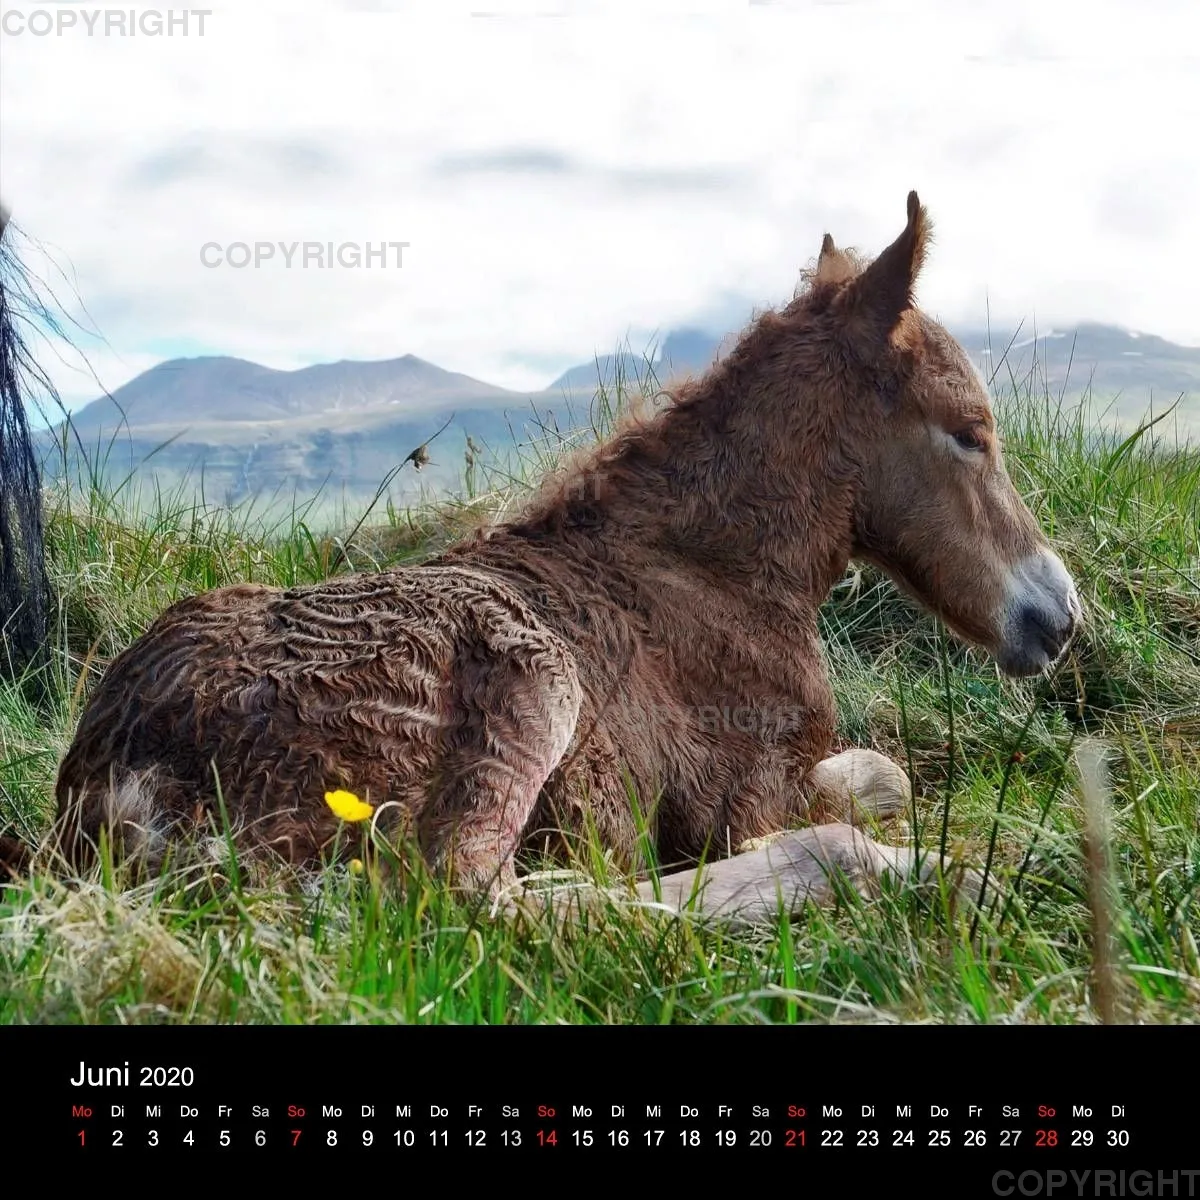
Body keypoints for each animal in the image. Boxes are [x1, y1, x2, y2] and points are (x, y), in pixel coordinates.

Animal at [47, 193, 1081, 920]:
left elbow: (882, 772)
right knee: (469, 906)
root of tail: (121, 776)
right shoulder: (749, 795)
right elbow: (867, 786)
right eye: (969, 433)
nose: (1058, 616)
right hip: (529, 682)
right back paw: (910, 875)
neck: (722, 572)